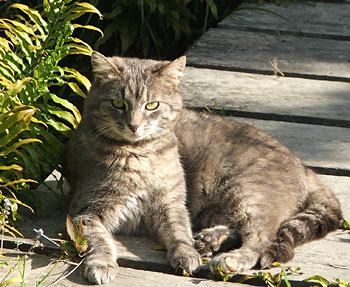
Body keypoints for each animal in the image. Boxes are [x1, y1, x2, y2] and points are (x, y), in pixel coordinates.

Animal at [62, 51, 342, 286]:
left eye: (152, 105)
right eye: (117, 104)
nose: (134, 125)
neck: (138, 154)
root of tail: (303, 166)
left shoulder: (171, 203)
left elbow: (178, 232)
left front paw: (186, 253)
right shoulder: (86, 210)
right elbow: (99, 241)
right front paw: (102, 263)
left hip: (246, 193)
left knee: (261, 238)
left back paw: (227, 258)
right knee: (241, 228)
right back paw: (210, 240)